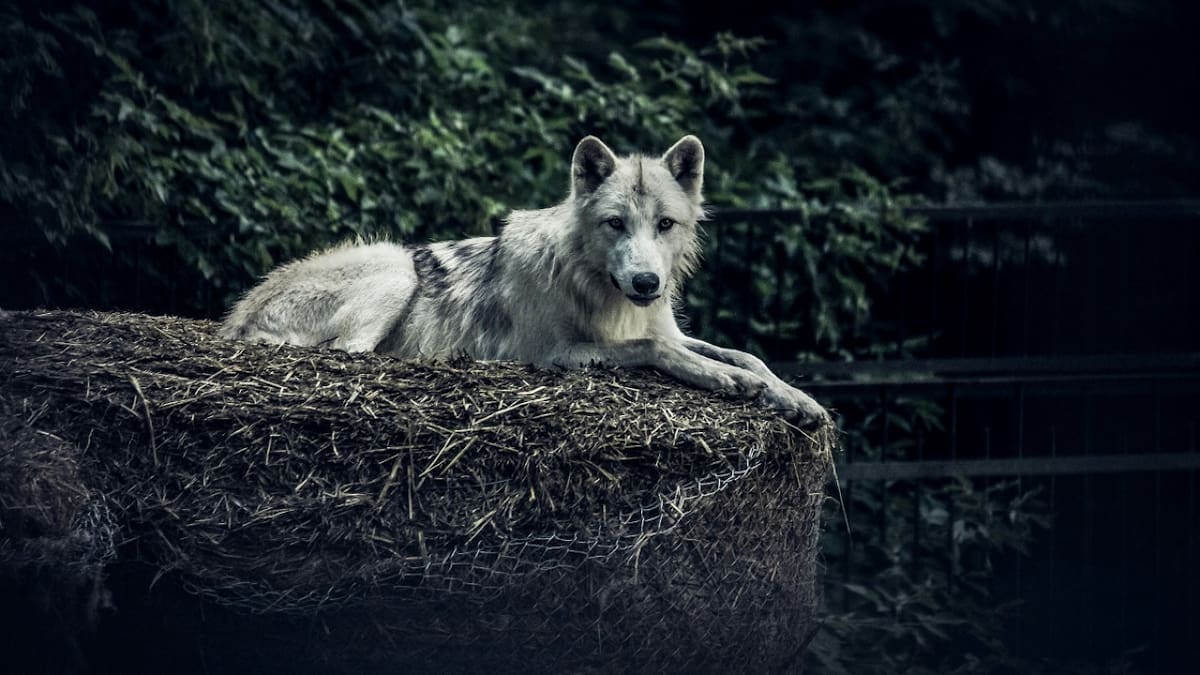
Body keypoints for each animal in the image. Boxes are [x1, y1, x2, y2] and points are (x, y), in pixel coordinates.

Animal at [220, 135, 829, 427]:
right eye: (615, 223)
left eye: (665, 224)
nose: (646, 283)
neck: (595, 286)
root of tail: (236, 318)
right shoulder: (555, 354)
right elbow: (655, 349)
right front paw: (728, 382)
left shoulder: (666, 327)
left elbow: (747, 355)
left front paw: (795, 398)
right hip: (396, 266)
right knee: (349, 355)